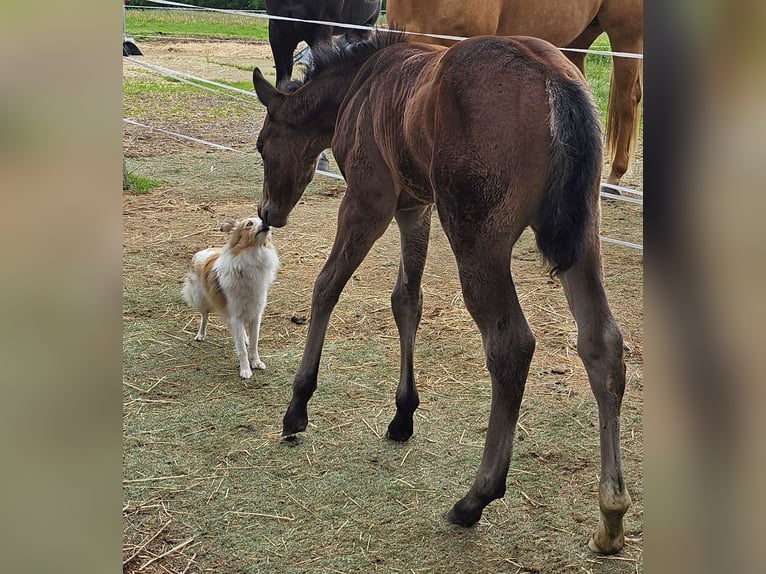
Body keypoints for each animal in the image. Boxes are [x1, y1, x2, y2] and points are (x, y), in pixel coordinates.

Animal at [252, 31, 631, 554]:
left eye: (262, 145)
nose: (268, 212)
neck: (361, 84)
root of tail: (555, 77)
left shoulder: (369, 201)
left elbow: (326, 286)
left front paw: (297, 407)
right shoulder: (414, 206)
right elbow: (406, 300)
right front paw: (402, 416)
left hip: (477, 239)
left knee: (510, 346)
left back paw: (475, 498)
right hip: (584, 239)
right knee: (602, 344)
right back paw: (610, 515)